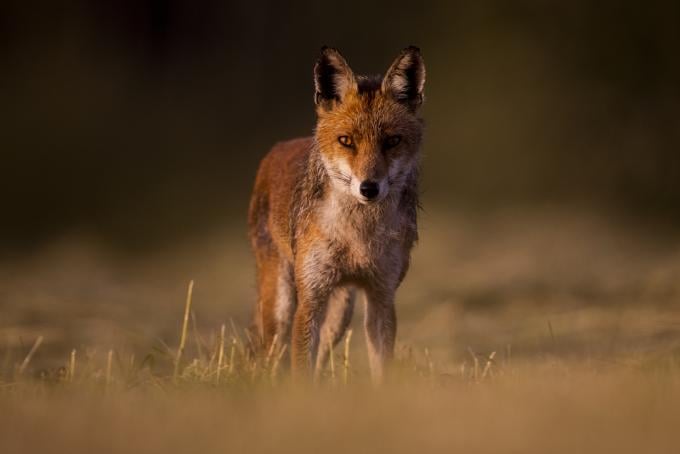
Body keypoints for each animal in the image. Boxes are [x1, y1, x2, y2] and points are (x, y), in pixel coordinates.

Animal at [244, 46, 424, 382]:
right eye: (346, 141)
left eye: (392, 141)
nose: (369, 188)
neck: (357, 236)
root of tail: (277, 148)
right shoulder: (311, 298)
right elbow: (301, 372)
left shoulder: (382, 296)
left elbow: (382, 369)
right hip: (281, 306)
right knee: (272, 359)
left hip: (341, 313)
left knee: (318, 359)